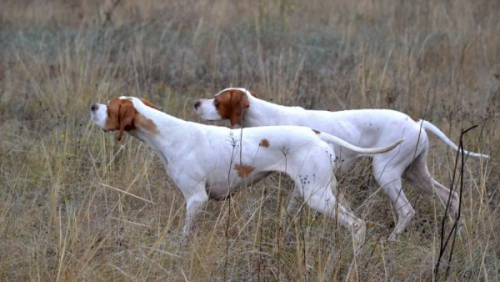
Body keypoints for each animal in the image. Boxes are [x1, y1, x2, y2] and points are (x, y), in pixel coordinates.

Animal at [90, 96, 402, 250]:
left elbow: (184, 234)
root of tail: (316, 133)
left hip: (317, 196)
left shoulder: (196, 199)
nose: (93, 106)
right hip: (323, 191)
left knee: (358, 225)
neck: (168, 135)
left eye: (111, 107)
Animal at [193, 87, 490, 240]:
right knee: (451, 195)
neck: (267, 116)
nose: (196, 103)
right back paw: (458, 233)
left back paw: (392, 240)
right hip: (415, 173)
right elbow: (290, 212)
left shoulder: (307, 181)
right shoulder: (309, 184)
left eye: (217, 101)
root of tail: (418, 122)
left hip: (386, 172)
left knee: (407, 211)